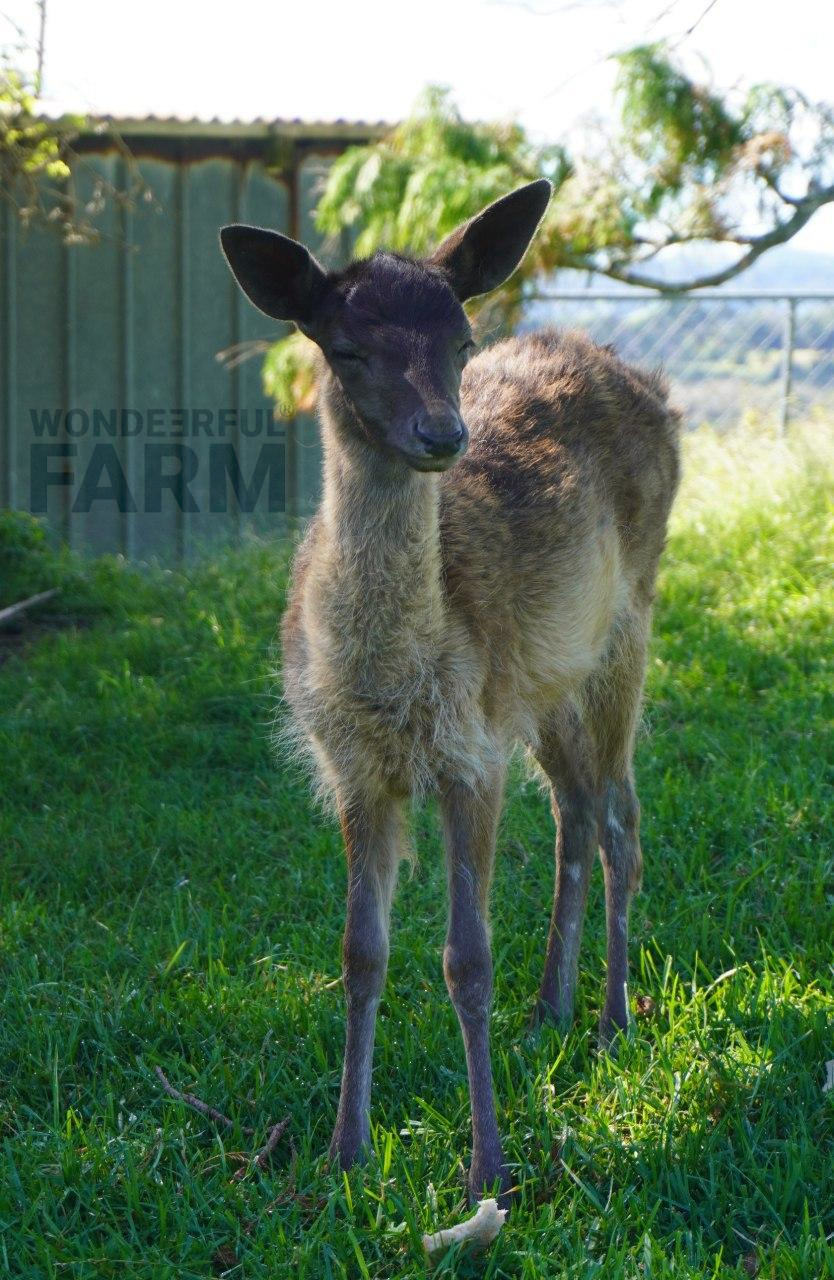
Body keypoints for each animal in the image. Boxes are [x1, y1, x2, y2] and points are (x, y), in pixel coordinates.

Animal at [220, 179, 680, 1203]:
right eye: (347, 348)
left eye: (462, 342)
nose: (443, 433)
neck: (392, 684)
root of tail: (647, 380)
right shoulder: (354, 766)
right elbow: (360, 953)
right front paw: (345, 1153)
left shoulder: (468, 752)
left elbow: (466, 959)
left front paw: (488, 1170)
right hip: (543, 683)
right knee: (578, 812)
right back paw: (550, 1010)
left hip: (625, 632)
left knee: (623, 819)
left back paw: (613, 1020)